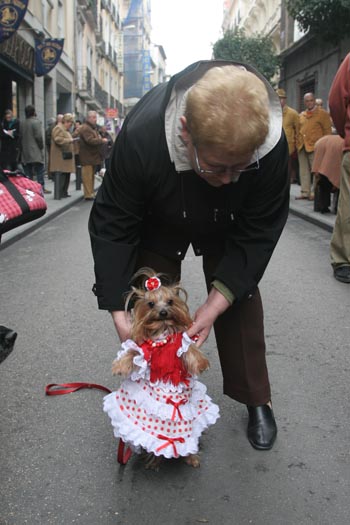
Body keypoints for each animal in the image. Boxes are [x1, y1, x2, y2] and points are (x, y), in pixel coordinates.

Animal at [102, 268, 220, 468]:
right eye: (150, 304)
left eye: (171, 301)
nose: (164, 312)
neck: (163, 332)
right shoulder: (144, 348)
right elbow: (133, 352)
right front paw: (120, 365)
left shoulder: (182, 341)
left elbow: (190, 349)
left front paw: (200, 363)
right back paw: (155, 460)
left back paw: (190, 456)